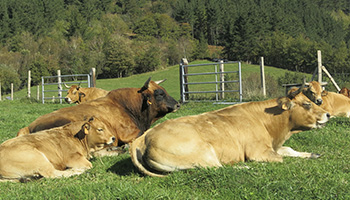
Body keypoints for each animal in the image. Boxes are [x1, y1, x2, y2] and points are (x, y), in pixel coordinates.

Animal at [130, 86, 330, 177]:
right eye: (306, 104)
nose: (327, 114)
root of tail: (144, 137)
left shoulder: (274, 145)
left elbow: (289, 150)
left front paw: (313, 154)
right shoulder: (259, 151)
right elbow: (280, 158)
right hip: (203, 152)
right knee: (217, 167)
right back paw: (248, 167)